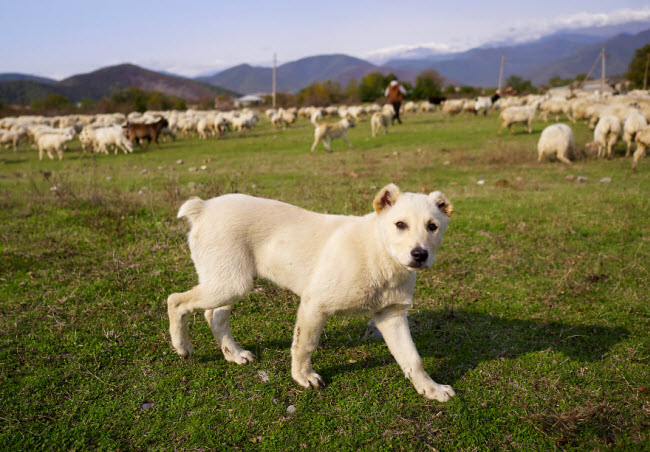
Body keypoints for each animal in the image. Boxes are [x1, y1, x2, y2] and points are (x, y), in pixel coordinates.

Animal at [167, 184, 456, 402]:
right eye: (400, 224)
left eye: (432, 226)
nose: (419, 255)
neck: (379, 255)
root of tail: (204, 207)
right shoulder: (315, 304)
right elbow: (305, 344)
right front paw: (303, 377)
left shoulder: (391, 316)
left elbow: (412, 358)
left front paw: (430, 388)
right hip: (230, 282)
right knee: (175, 301)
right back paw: (182, 347)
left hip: (231, 281)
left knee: (214, 316)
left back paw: (233, 354)